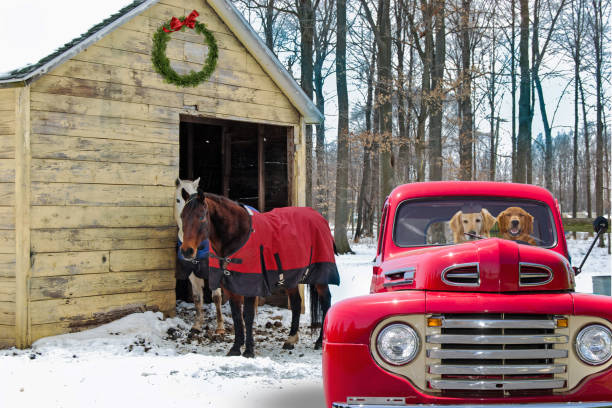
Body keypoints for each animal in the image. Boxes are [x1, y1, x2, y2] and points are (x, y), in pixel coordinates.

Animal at [175, 178, 225, 334]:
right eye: (178, 199)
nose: (187, 251)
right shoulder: (192, 273)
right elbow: (197, 298)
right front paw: (197, 325)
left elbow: (216, 297)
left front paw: (220, 327)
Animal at [179, 190, 340, 356]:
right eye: (182, 216)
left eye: (201, 216)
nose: (187, 251)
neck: (239, 236)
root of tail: (319, 217)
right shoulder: (230, 287)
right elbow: (237, 316)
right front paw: (235, 348)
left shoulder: (250, 285)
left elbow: (248, 315)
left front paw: (249, 350)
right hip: (290, 278)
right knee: (296, 304)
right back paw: (291, 339)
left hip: (320, 277)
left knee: (326, 301)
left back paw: (319, 341)